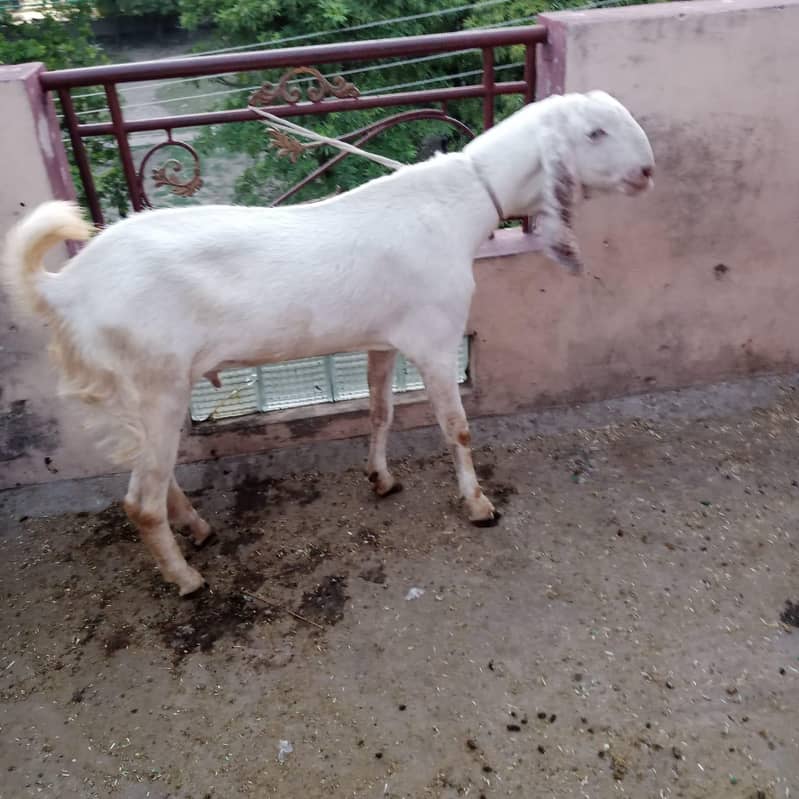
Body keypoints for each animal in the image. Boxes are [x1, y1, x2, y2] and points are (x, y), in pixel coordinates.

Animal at [3, 90, 654, 596]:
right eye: (595, 132)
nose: (647, 171)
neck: (461, 202)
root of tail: (65, 287)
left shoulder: (386, 338)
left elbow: (380, 410)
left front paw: (382, 479)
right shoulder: (436, 338)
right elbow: (457, 427)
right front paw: (477, 505)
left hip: (138, 392)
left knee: (153, 477)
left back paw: (198, 530)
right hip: (155, 381)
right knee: (140, 499)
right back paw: (186, 578)